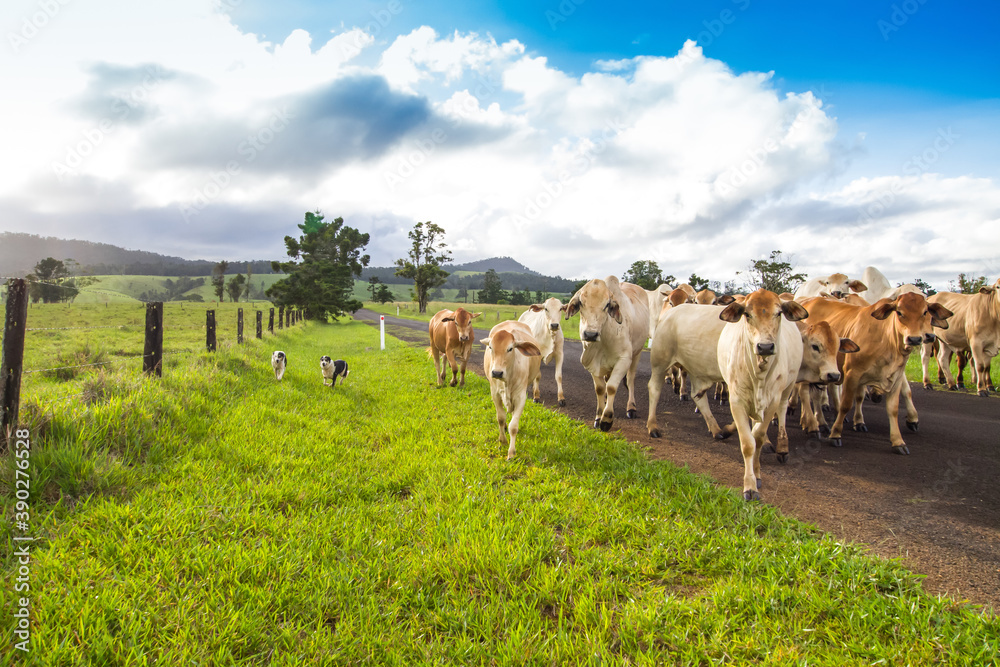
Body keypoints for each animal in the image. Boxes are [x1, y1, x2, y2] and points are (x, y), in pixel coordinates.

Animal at [480, 321, 542, 459]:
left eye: (510, 349)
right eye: (491, 347)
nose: (497, 372)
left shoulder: (521, 397)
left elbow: (513, 426)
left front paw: (511, 453)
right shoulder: (495, 394)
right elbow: (501, 418)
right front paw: (502, 441)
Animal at [565, 276, 650, 432]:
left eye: (606, 305)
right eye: (581, 303)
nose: (590, 334)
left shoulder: (624, 360)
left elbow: (611, 387)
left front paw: (607, 419)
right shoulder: (591, 362)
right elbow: (600, 388)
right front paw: (599, 416)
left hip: (638, 352)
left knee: (630, 379)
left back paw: (631, 408)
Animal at [717, 290, 808, 500]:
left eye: (779, 313)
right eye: (747, 315)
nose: (765, 347)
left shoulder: (772, 402)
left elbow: (758, 438)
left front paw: (756, 475)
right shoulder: (737, 401)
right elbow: (748, 443)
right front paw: (749, 486)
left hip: (788, 387)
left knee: (782, 411)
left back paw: (782, 446)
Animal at [799, 293, 953, 454]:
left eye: (925, 312)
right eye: (899, 312)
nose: (915, 339)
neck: (885, 337)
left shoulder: (896, 376)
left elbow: (893, 406)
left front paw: (898, 440)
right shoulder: (852, 374)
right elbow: (846, 404)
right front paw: (836, 434)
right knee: (805, 394)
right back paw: (811, 423)